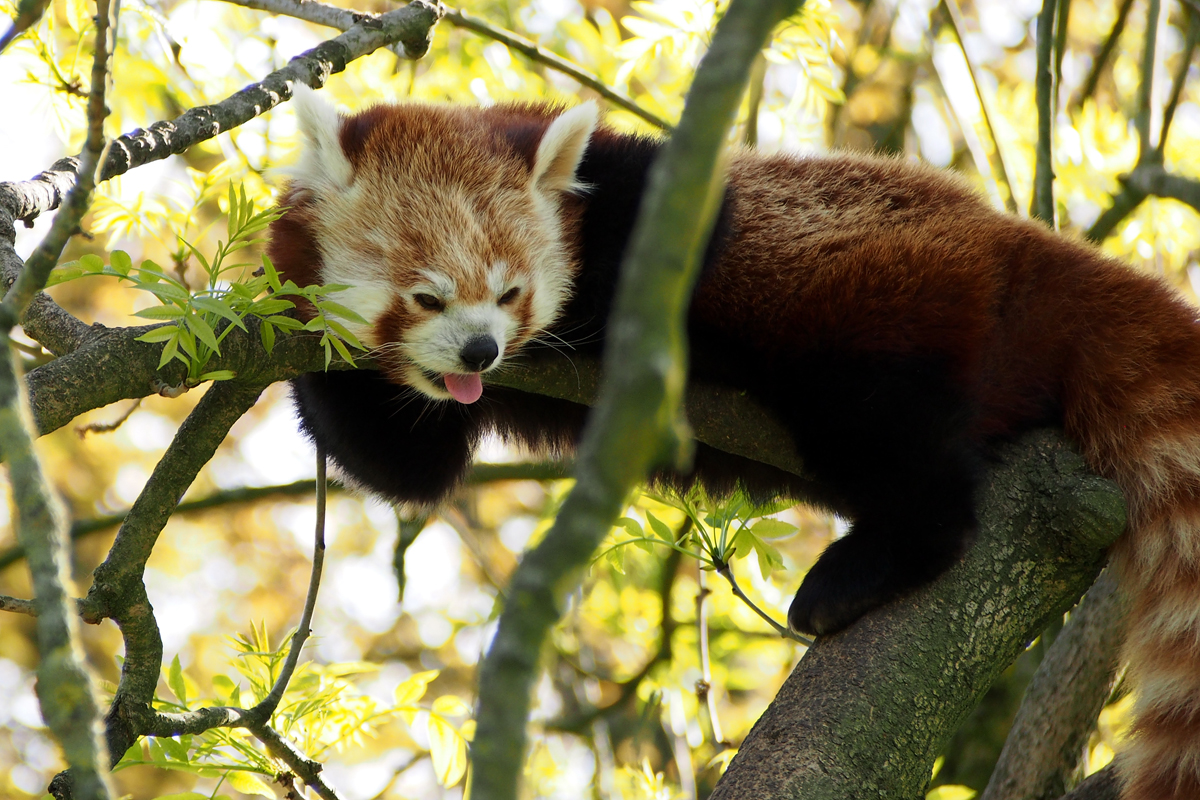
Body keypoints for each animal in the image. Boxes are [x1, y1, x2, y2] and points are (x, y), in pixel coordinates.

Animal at [267, 84, 1200, 796]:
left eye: (509, 293)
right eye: (426, 298)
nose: (480, 353)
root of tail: (1016, 238)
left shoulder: (655, 192)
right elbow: (406, 464)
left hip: (886, 310)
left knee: (905, 458)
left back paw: (859, 571)